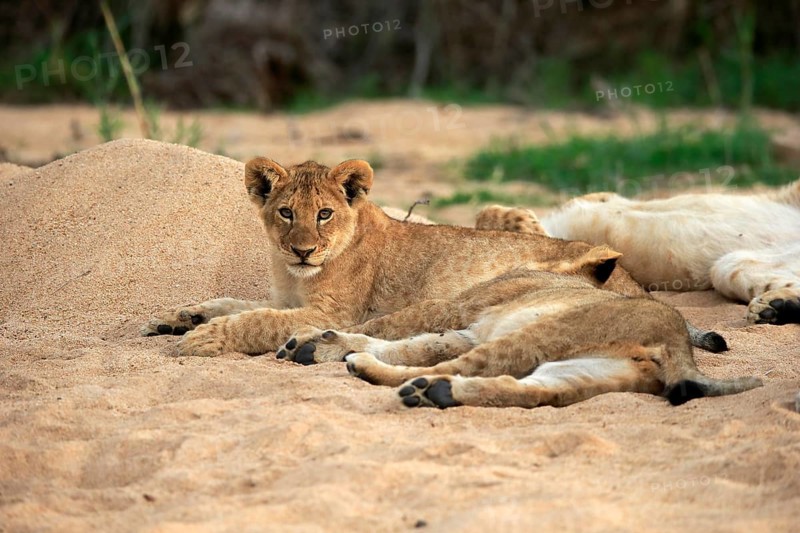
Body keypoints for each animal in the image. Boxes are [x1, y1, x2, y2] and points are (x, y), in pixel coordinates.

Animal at [141, 157, 725, 357]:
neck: (295, 274)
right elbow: (234, 302)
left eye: (324, 213)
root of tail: (632, 282)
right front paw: (183, 316)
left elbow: (254, 319)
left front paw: (200, 339)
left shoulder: (334, 311)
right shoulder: (285, 294)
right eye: (286, 212)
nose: (303, 249)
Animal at [274, 268, 762, 409]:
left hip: (542, 333)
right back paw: (438, 393)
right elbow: (415, 343)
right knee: (528, 391)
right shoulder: (466, 329)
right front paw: (318, 344)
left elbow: (392, 331)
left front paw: (316, 342)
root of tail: (678, 340)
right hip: (586, 372)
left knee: (455, 367)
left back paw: (390, 378)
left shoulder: (462, 313)